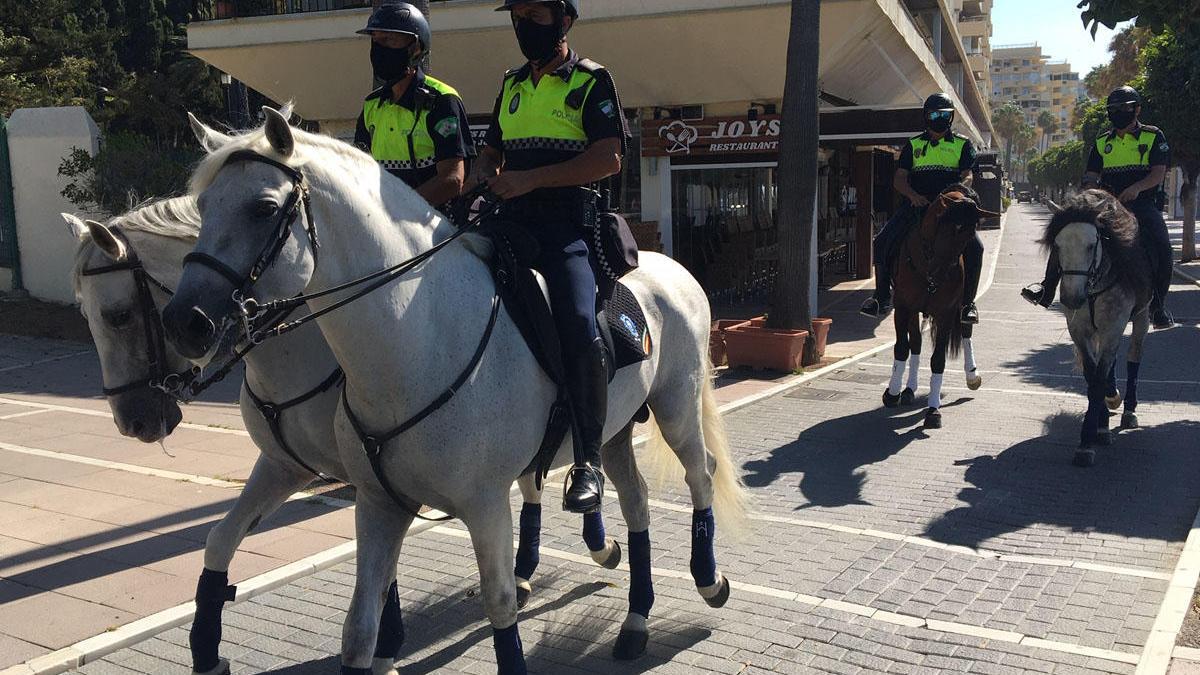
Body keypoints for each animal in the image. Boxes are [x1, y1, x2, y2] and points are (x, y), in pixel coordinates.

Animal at [68, 190, 619, 672]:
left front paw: (387, 645)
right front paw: (206, 651)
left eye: (118, 315)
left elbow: (384, 572)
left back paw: (590, 531)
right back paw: (536, 567)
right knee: (535, 478)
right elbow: (222, 540)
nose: (133, 420)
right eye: (86, 315)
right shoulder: (289, 466)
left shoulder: (371, 477)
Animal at [158, 107, 739, 667]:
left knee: (701, 473)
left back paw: (707, 579)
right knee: (636, 500)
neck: (418, 338)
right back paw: (635, 616)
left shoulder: (484, 504)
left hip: (676, 407)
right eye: (202, 207)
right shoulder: (367, 498)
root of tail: (671, 268)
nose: (185, 322)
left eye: (261, 208)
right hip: (613, 430)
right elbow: (353, 624)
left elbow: (498, 605)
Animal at [883, 183, 993, 425]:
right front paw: (892, 393)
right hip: (913, 310)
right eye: (948, 228)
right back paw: (908, 389)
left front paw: (933, 410)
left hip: (962, 306)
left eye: (969, 235)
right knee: (915, 343)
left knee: (966, 331)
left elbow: (938, 360)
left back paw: (972, 375)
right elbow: (902, 348)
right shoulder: (903, 307)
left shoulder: (946, 313)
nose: (939, 276)